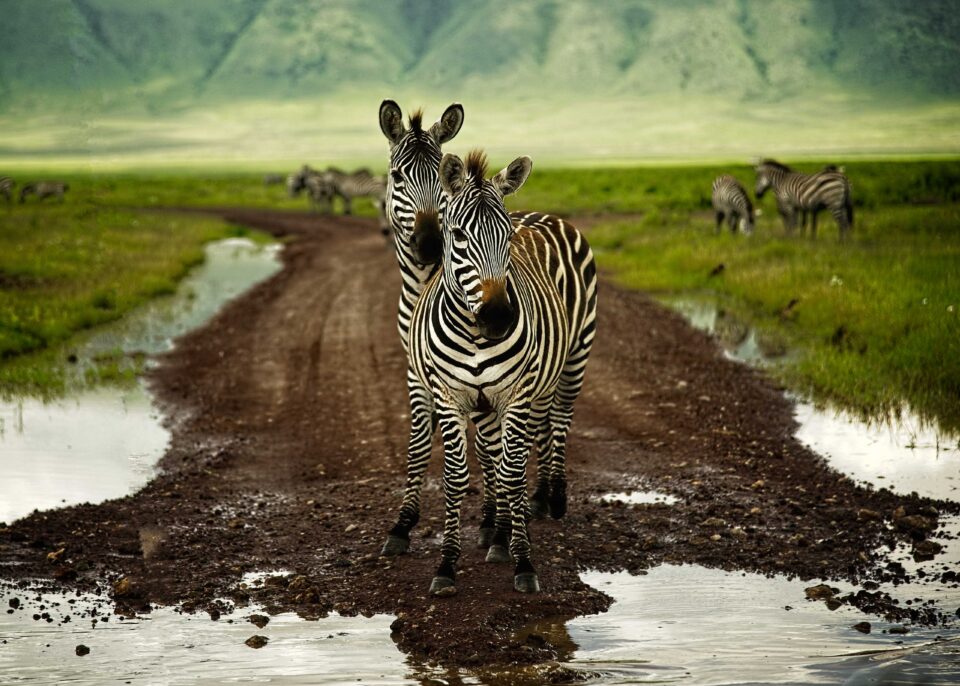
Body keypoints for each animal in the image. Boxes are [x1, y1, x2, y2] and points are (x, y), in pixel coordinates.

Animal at [408, 150, 596, 595]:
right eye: (458, 234)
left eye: (508, 237)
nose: (498, 317)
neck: (475, 333)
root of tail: (541, 215)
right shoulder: (452, 397)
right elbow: (459, 476)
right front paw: (447, 565)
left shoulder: (515, 395)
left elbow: (511, 473)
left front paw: (523, 561)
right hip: (504, 398)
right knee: (510, 444)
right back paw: (508, 525)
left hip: (574, 357)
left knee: (558, 421)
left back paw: (551, 499)